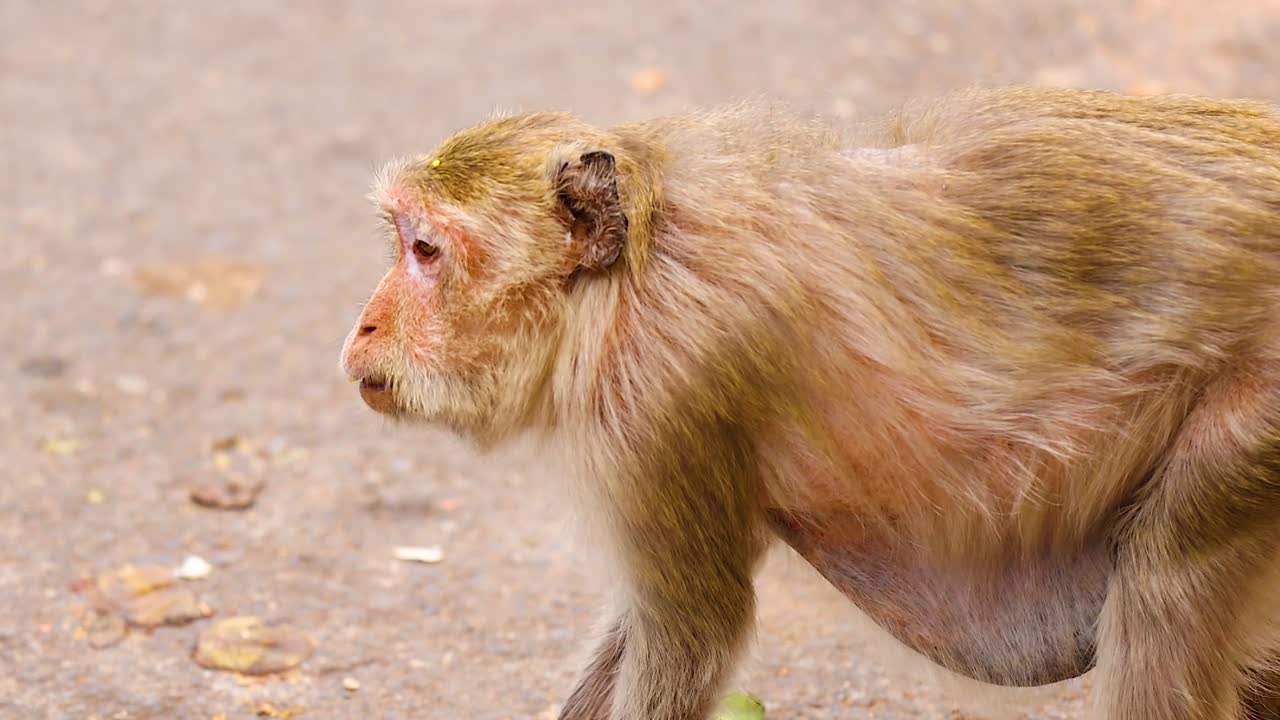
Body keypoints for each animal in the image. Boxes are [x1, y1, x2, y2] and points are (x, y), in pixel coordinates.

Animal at [339, 86, 1280, 720]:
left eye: (425, 250)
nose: (363, 325)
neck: (634, 277)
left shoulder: (663, 396)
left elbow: (691, 635)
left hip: (1256, 415)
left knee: (1164, 585)